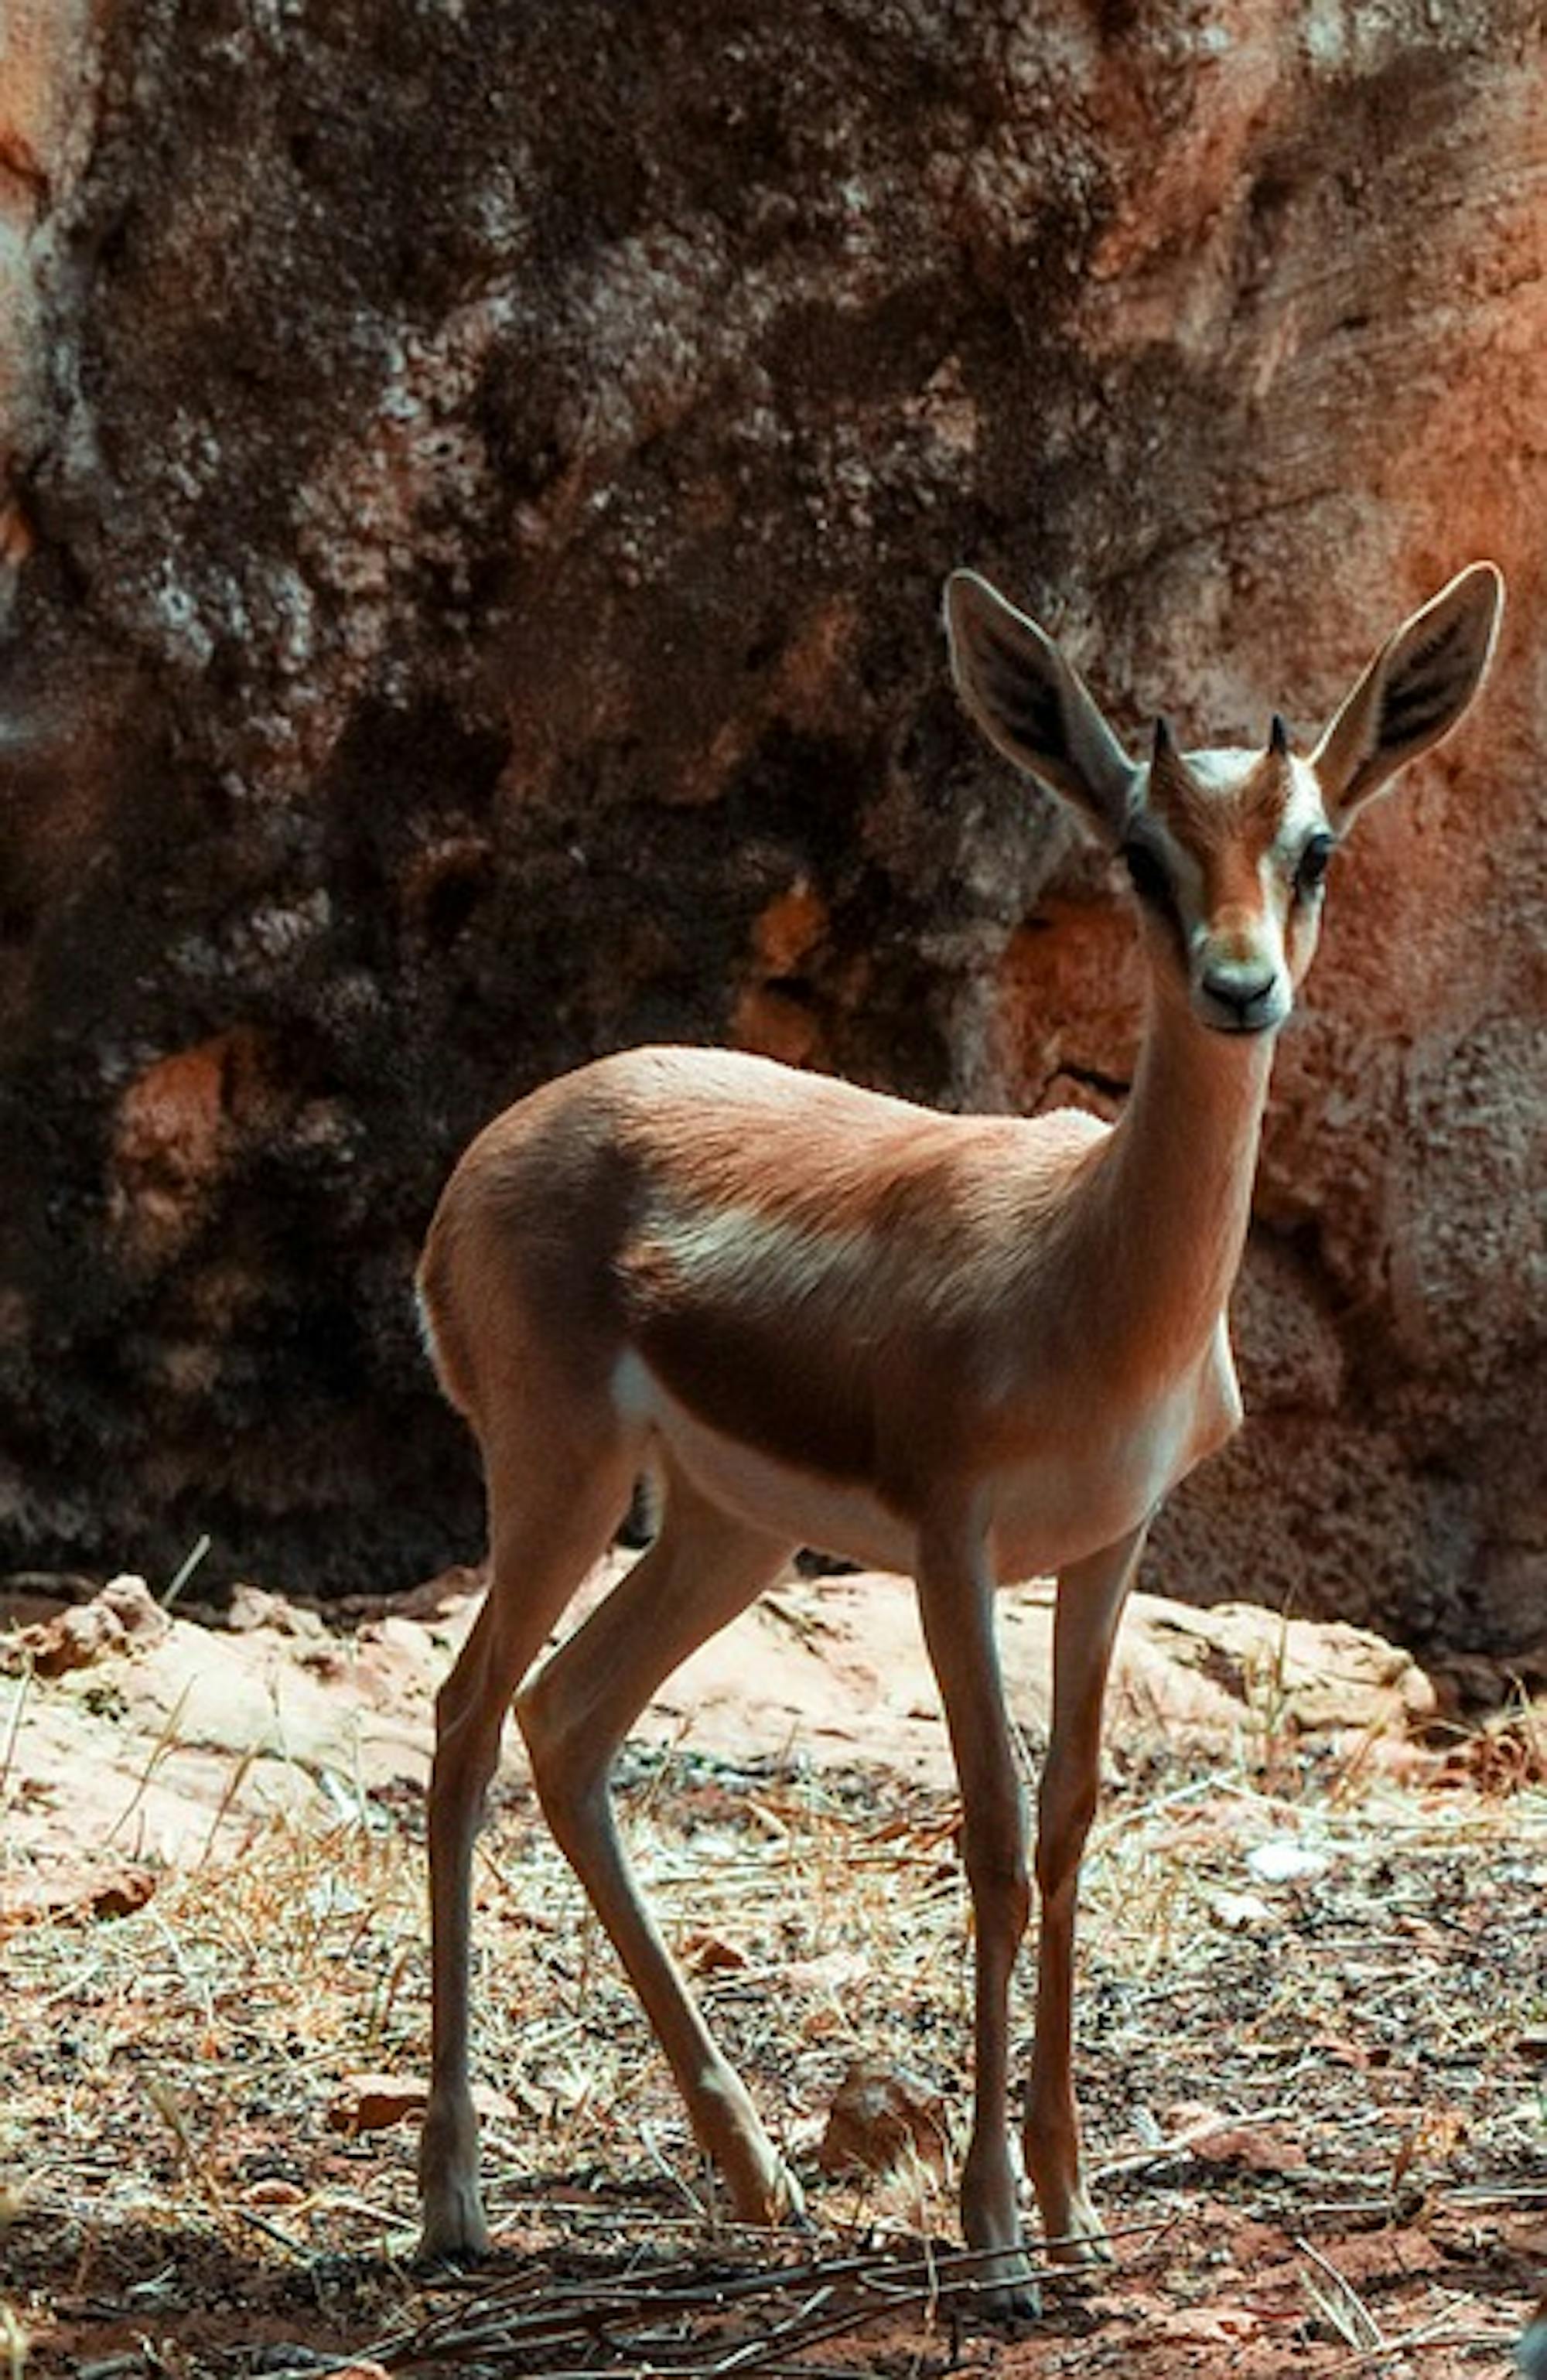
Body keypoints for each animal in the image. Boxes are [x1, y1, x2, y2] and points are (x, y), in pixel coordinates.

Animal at [414, 560, 1503, 2306]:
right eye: (1139, 851)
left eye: (1315, 843)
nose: (1239, 986)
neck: (1088, 1269)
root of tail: (493, 1152)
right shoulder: (951, 1545)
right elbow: (987, 1834)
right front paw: (992, 2232)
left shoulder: (1109, 1546)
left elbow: (1066, 1827)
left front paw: (1074, 2207)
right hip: (559, 1480)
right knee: (462, 1721)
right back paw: (454, 2193)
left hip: (727, 1533)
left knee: (565, 1720)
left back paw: (758, 2176)